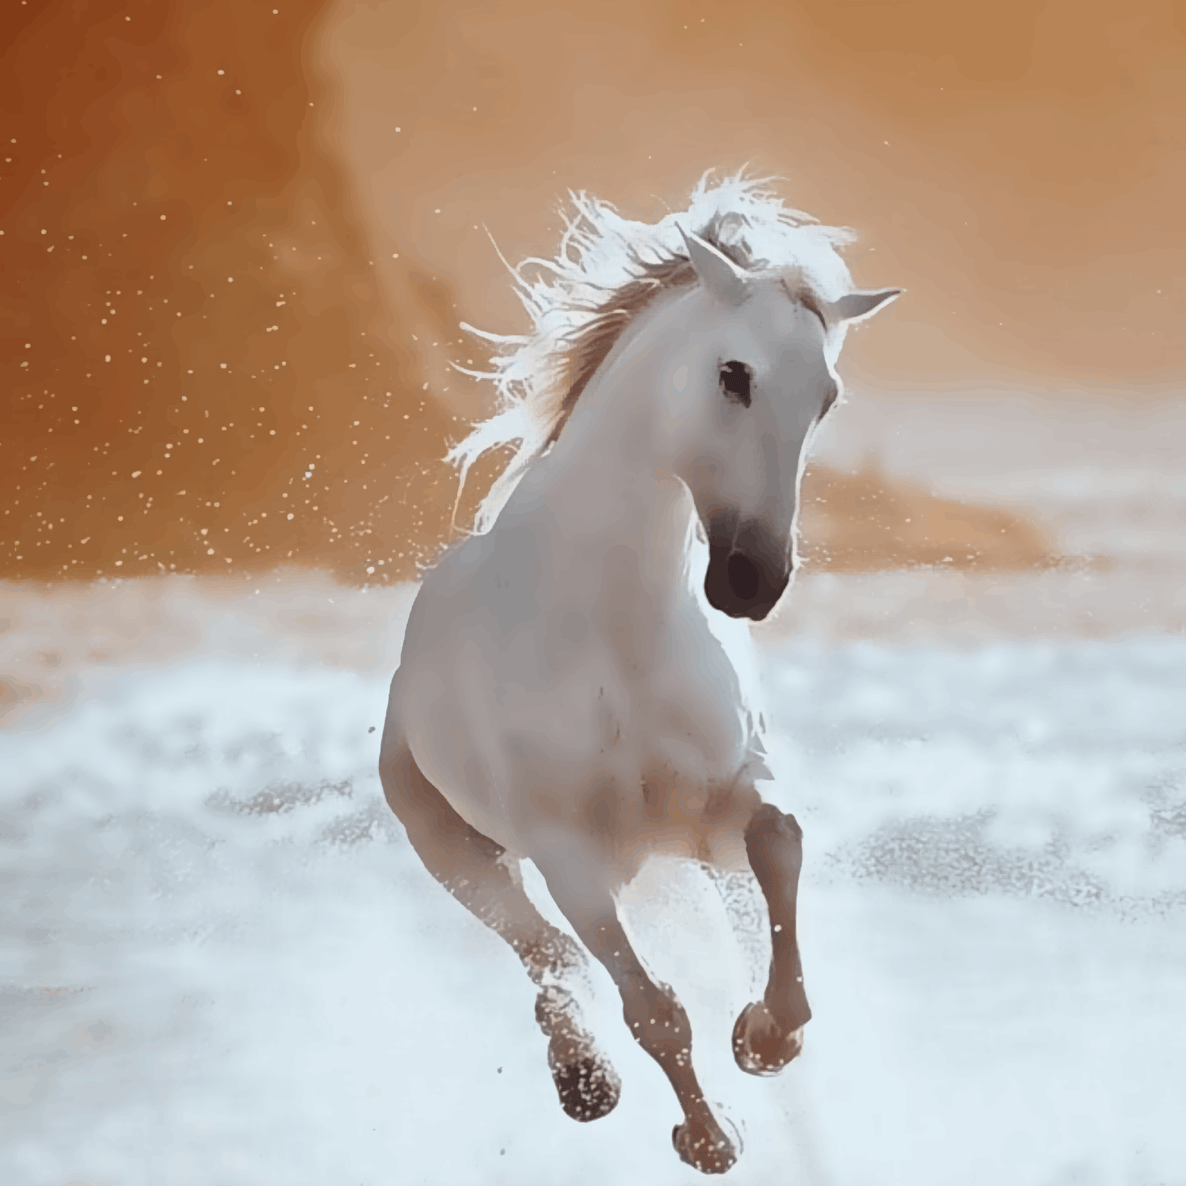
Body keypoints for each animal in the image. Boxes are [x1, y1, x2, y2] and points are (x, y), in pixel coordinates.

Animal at [379, 172, 899, 1173]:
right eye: (734, 375)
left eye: (826, 397)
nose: (752, 581)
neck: (611, 634)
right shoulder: (569, 856)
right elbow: (653, 1008)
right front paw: (710, 1137)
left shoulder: (721, 809)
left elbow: (780, 839)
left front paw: (767, 1033)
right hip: (456, 848)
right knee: (545, 953)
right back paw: (584, 1080)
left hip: (667, 863)